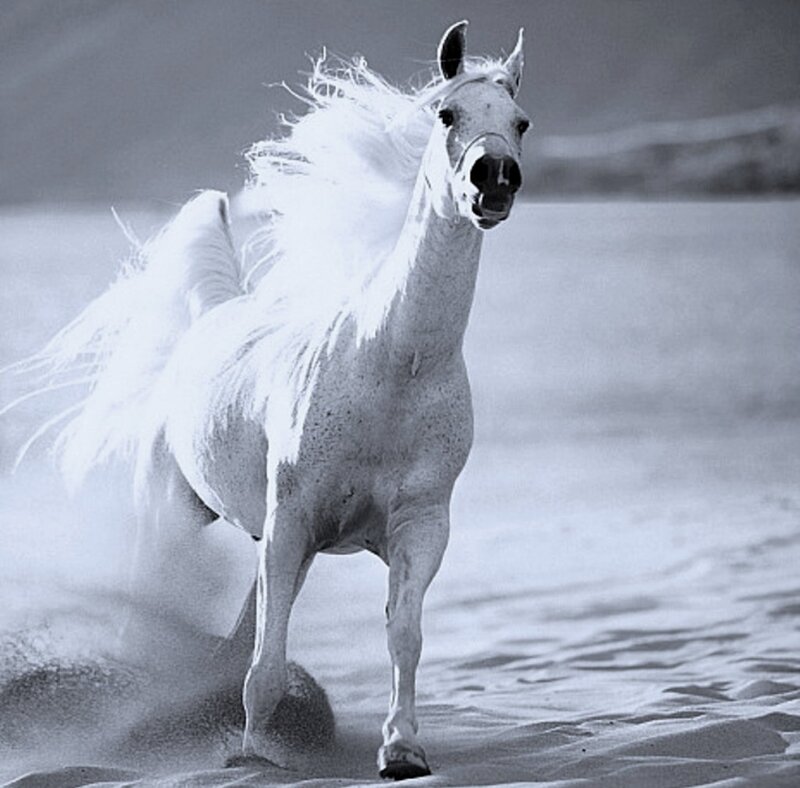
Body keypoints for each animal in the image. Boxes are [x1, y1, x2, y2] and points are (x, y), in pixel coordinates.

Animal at [9, 20, 528, 780]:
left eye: (520, 122)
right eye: (446, 114)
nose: (494, 180)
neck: (392, 367)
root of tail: (212, 316)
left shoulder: (417, 527)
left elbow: (401, 637)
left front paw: (402, 751)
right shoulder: (292, 521)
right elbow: (267, 661)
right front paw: (252, 757)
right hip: (176, 515)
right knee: (156, 617)